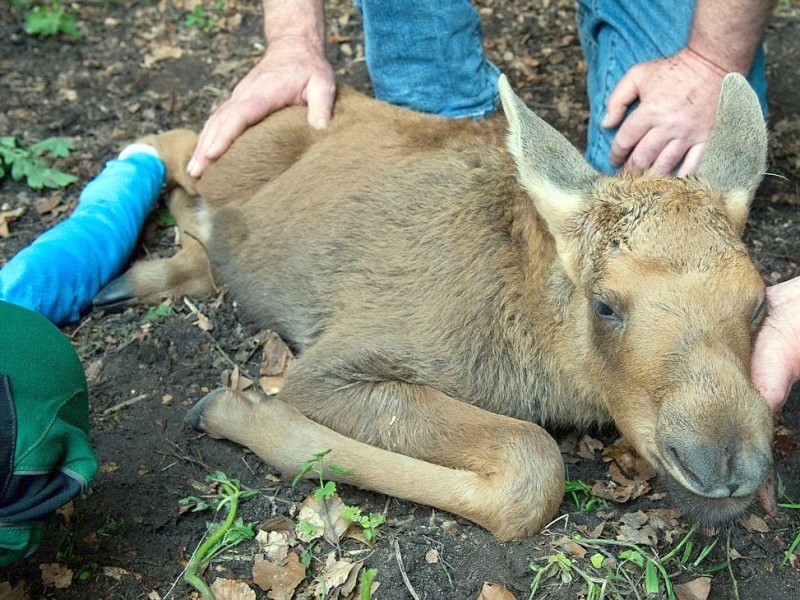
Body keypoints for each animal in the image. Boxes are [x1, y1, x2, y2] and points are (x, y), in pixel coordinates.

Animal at [95, 74, 776, 540]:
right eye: (605, 304)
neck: (544, 358)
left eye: (758, 304)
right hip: (221, 160)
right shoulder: (331, 366)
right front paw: (244, 410)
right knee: (171, 140)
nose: (724, 462)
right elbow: (533, 462)